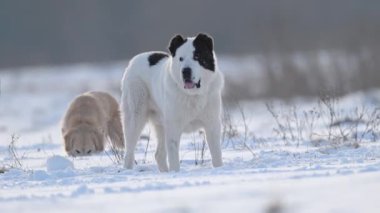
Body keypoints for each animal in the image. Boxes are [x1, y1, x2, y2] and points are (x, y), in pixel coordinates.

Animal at [121, 32, 223, 171]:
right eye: (180, 59)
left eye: (197, 56)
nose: (186, 71)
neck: (192, 95)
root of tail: (132, 62)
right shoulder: (174, 127)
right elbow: (174, 158)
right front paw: (176, 173)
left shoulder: (212, 125)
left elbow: (217, 155)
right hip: (135, 116)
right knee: (129, 152)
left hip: (162, 124)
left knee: (159, 154)